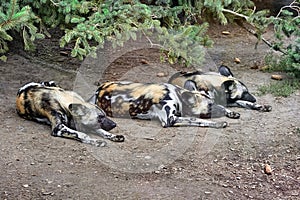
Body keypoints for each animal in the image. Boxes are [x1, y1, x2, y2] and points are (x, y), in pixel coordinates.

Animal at [88, 81, 240, 128]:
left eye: (213, 103)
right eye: (210, 106)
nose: (221, 110)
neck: (177, 96)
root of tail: (97, 91)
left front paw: (230, 112)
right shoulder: (170, 120)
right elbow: (197, 120)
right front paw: (219, 123)